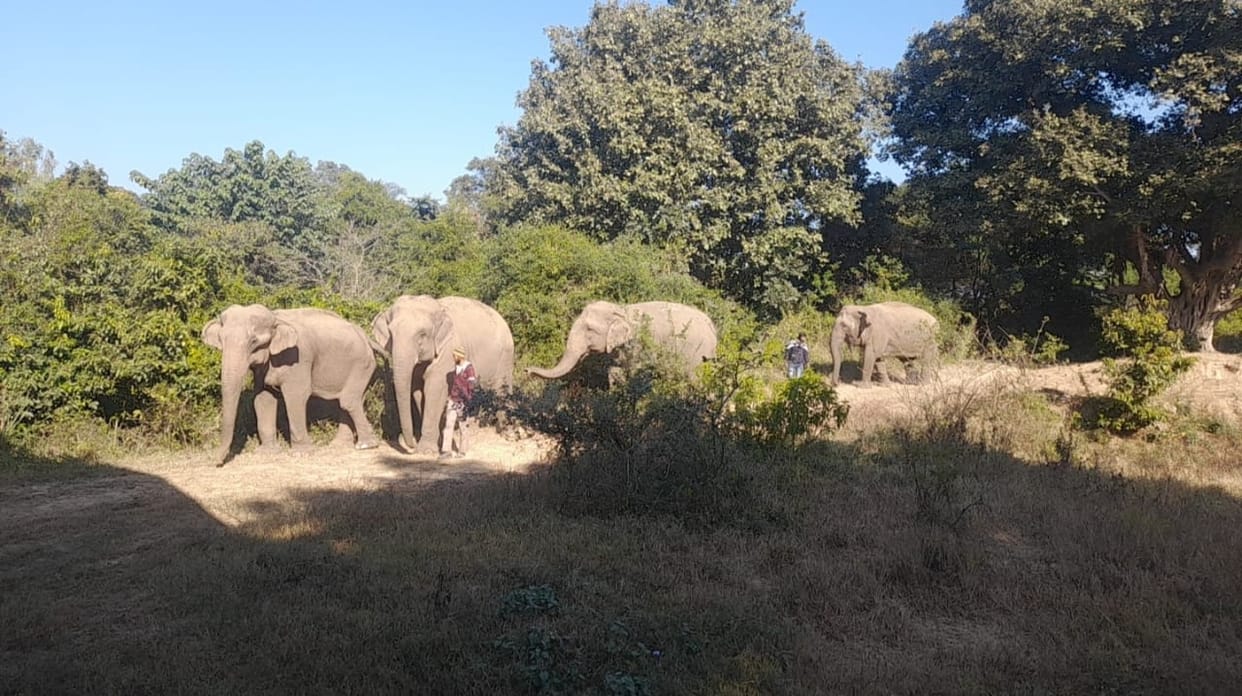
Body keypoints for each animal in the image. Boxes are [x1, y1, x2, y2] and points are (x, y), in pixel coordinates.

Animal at [201, 304, 380, 466]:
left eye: (253, 341)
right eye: (221, 340)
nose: (216, 463)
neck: (275, 317)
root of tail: (365, 335)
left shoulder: (298, 357)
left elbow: (296, 396)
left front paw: (301, 453)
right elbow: (263, 398)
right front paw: (267, 452)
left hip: (362, 364)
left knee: (349, 400)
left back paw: (366, 445)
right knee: (349, 400)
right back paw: (339, 445)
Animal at [371, 295, 515, 454]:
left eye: (422, 334)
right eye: (391, 333)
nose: (411, 445)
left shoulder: (448, 350)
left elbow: (434, 389)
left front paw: (426, 450)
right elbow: (418, 391)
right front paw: (435, 443)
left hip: (505, 356)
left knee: (501, 389)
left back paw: (505, 430)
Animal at [527, 301, 718, 383]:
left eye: (589, 330)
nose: (527, 370)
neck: (620, 310)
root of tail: (712, 327)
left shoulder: (637, 345)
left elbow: (635, 371)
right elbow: (615, 371)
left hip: (694, 354)